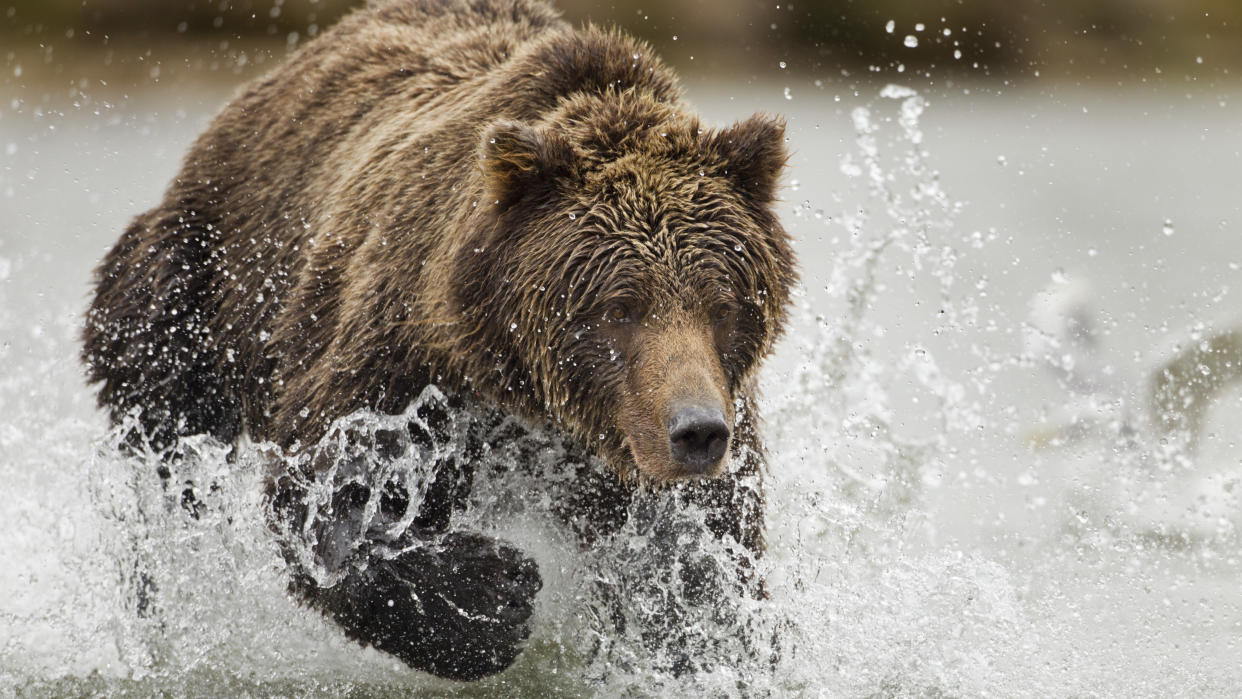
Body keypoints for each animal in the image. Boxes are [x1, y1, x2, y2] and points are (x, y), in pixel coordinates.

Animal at [80, 0, 794, 680]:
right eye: (620, 307)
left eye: (723, 305)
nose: (695, 432)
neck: (526, 396)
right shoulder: (405, 361)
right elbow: (329, 487)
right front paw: (492, 594)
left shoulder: (688, 451)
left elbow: (700, 572)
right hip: (193, 295)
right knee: (166, 459)